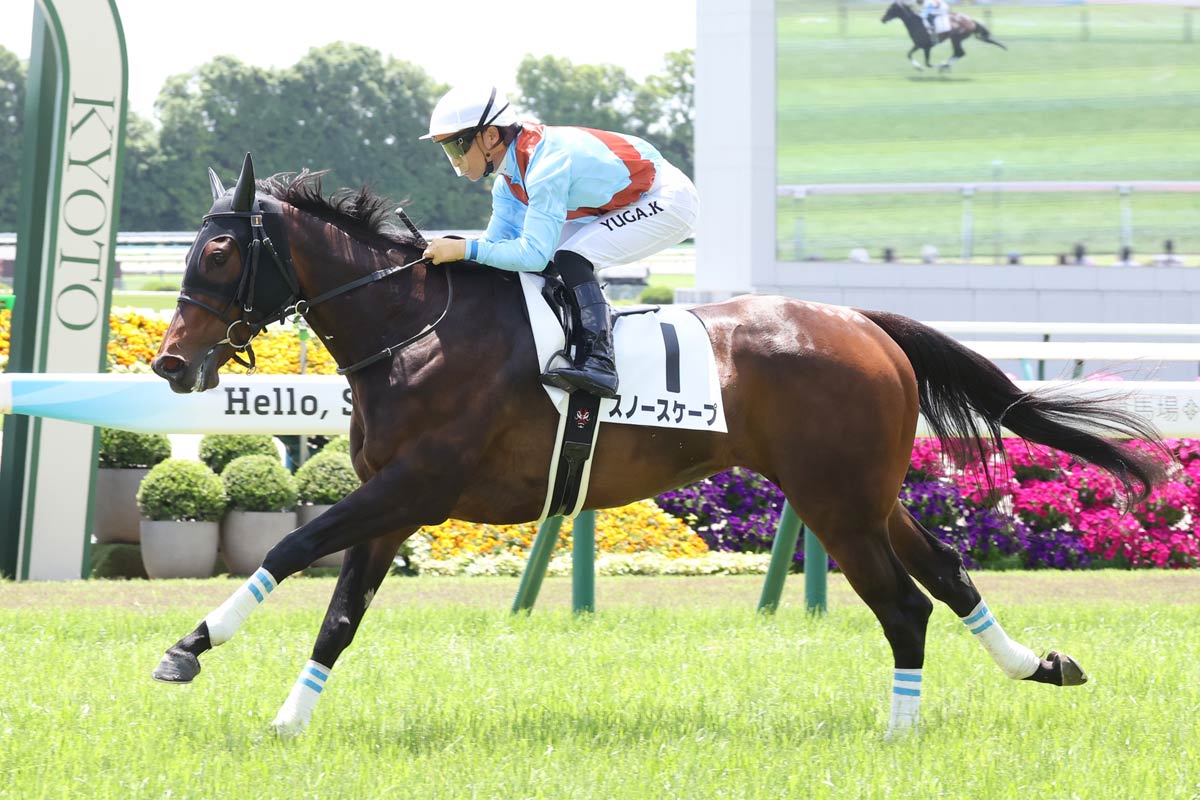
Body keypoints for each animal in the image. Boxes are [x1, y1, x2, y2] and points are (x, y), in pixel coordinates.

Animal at [149, 153, 1167, 738]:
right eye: (189, 251)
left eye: (219, 255)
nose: (168, 363)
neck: (415, 326)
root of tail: (862, 322)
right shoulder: (392, 504)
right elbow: (341, 612)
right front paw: (289, 718)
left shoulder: (415, 487)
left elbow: (292, 546)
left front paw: (188, 647)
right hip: (862, 495)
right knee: (948, 572)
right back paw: (1038, 665)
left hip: (836, 503)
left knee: (904, 607)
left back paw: (899, 736)